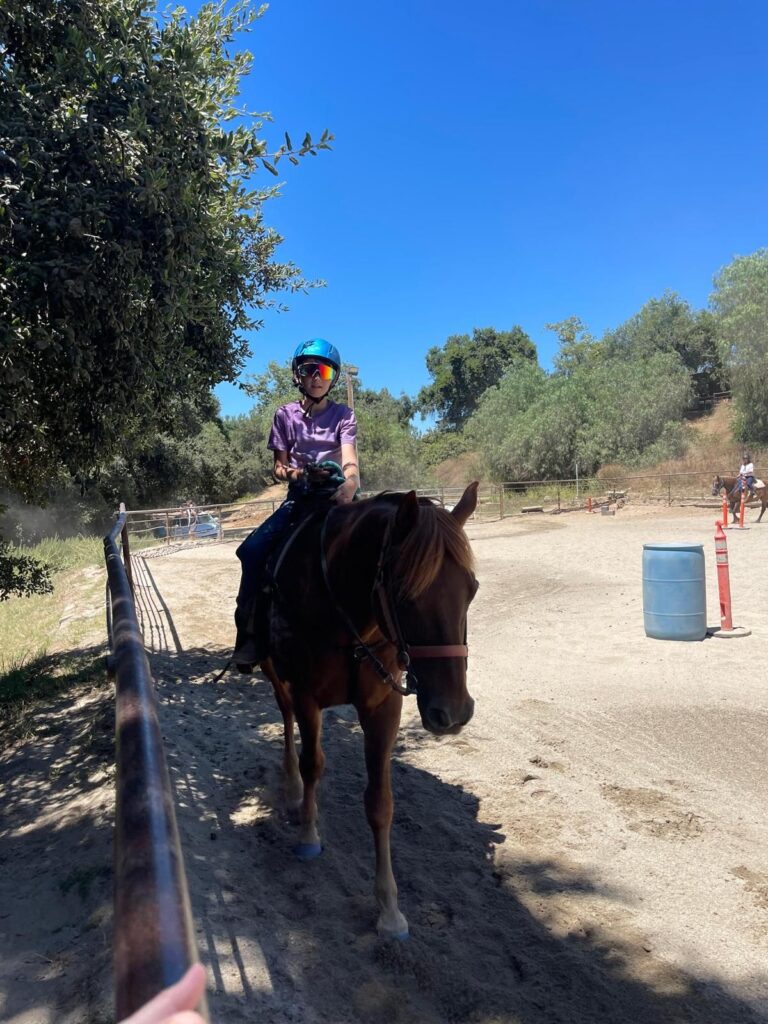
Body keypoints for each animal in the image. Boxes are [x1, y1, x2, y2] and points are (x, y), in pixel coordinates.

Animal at [256, 482, 479, 939]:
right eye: (405, 596)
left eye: (473, 589)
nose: (453, 713)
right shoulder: (306, 696)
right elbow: (312, 764)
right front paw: (308, 834)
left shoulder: (382, 708)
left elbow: (380, 803)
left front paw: (389, 909)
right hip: (274, 673)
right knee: (285, 722)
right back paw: (291, 788)